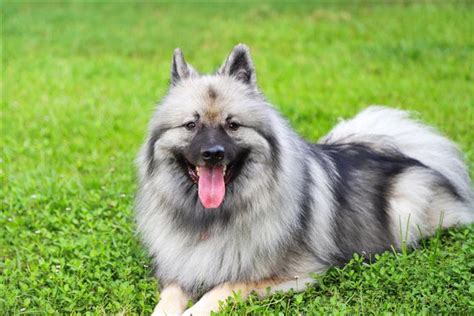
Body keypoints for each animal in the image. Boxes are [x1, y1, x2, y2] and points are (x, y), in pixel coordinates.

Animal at [134, 45, 474, 316]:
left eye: (233, 125)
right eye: (191, 125)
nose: (213, 154)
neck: (211, 217)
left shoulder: (288, 274)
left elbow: (222, 289)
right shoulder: (181, 268)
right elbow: (168, 298)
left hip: (406, 209)